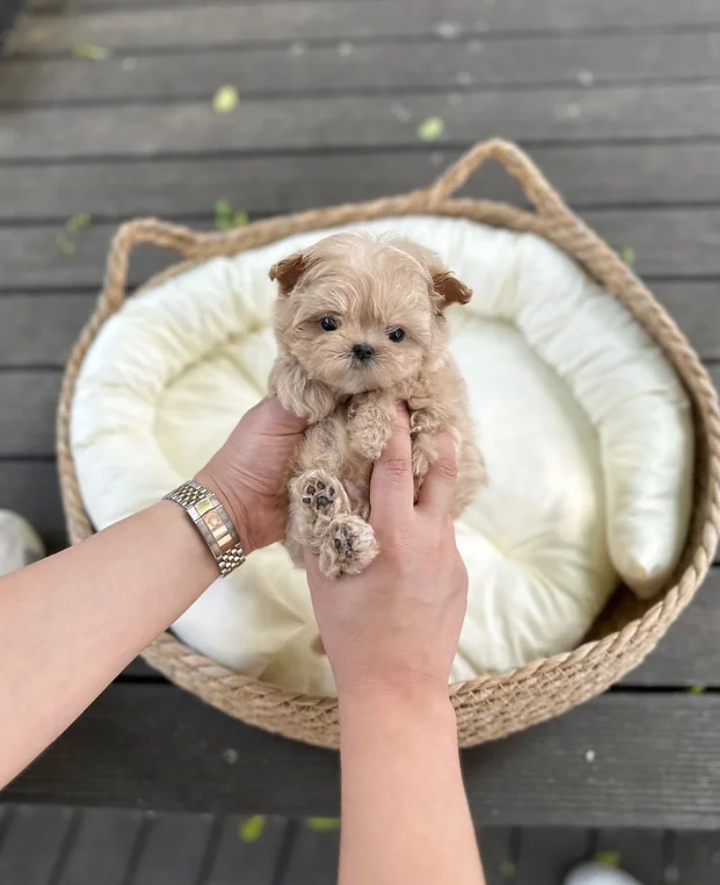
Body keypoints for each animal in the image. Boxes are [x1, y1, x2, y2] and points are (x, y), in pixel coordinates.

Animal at [268, 231, 486, 576]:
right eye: (328, 323)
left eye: (397, 334)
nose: (363, 348)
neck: (350, 392)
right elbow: (290, 367)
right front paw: (303, 386)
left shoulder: (438, 399)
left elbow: (396, 391)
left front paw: (369, 434)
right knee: (307, 531)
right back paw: (327, 514)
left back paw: (344, 536)